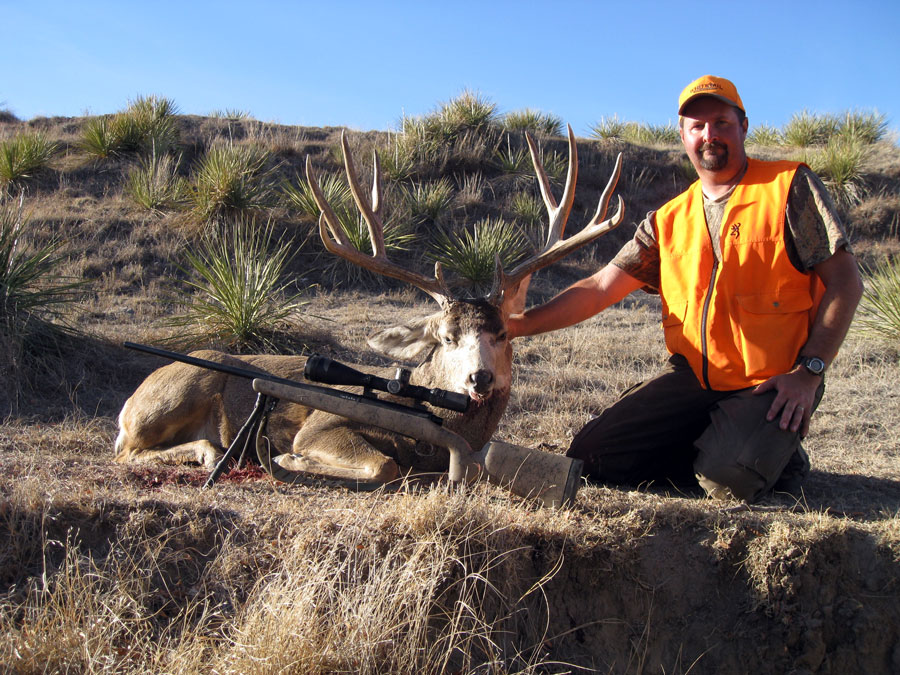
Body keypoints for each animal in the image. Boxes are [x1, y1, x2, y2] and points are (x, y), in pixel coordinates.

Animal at [114, 126, 624, 486]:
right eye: (446, 337)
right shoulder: (321, 424)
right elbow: (383, 465)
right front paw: (287, 456)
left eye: (502, 334)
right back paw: (210, 452)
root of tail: (132, 399)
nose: (479, 378)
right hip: (178, 392)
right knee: (126, 450)